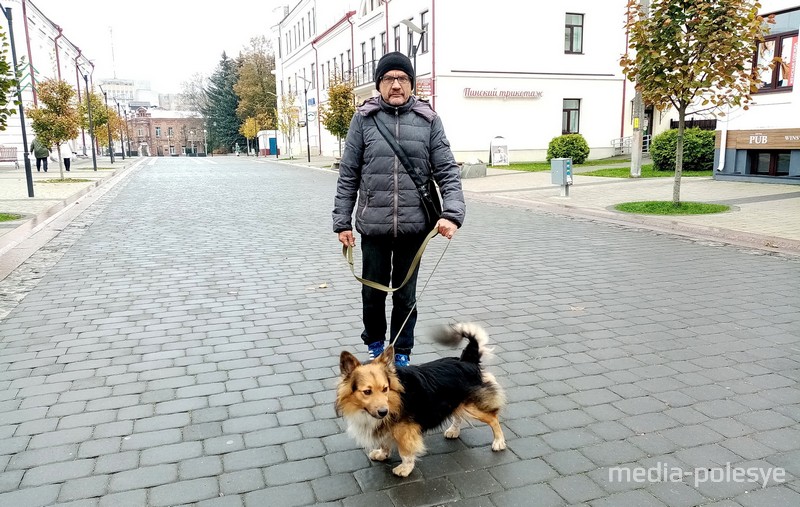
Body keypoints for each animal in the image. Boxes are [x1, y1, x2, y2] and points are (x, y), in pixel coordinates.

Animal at [332, 324, 506, 478]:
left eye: (385, 389)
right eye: (367, 392)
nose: (383, 412)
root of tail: (467, 360)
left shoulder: (405, 429)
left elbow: (405, 451)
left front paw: (405, 469)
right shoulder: (385, 424)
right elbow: (385, 442)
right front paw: (383, 453)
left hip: (472, 405)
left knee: (493, 418)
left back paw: (499, 442)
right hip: (456, 401)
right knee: (458, 414)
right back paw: (453, 431)